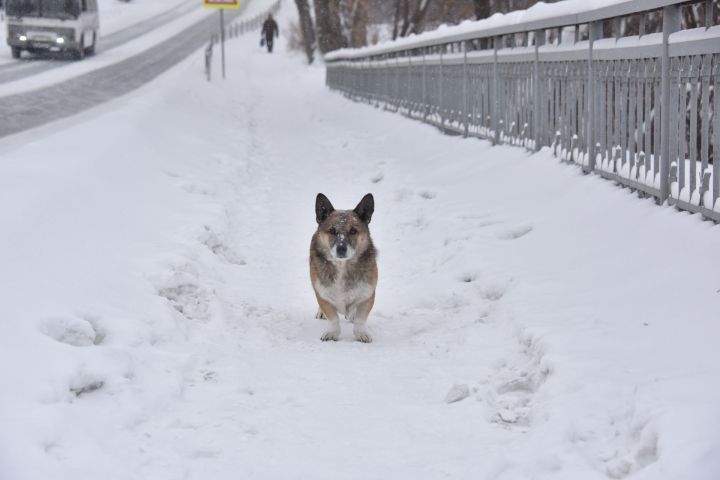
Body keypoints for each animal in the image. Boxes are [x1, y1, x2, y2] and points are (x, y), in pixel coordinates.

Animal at [308, 193, 376, 344]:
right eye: (332, 230)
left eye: (353, 231)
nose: (341, 249)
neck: (342, 267)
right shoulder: (322, 293)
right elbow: (332, 318)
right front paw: (332, 333)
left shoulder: (368, 295)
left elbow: (361, 318)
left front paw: (361, 333)